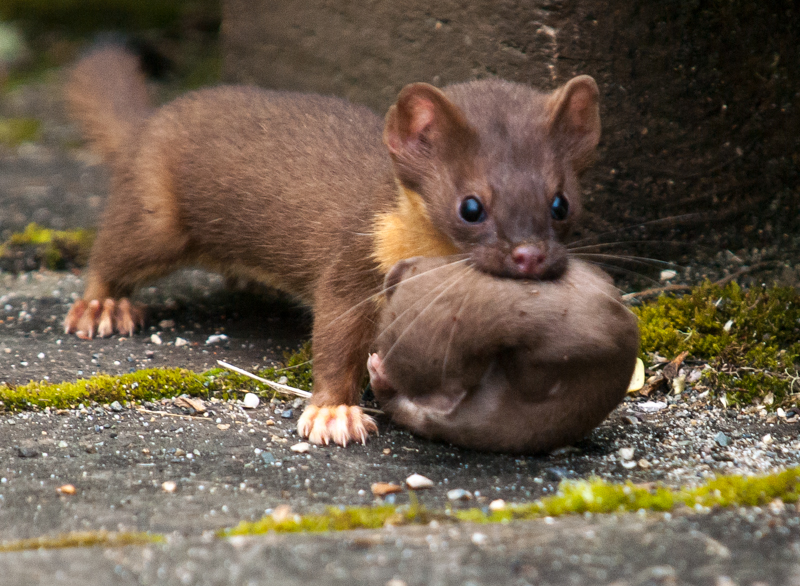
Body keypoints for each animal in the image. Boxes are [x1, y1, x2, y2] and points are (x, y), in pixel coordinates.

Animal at [62, 48, 600, 444]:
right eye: (471, 206)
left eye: (560, 202)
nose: (529, 255)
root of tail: (150, 122)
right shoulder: (352, 265)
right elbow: (336, 340)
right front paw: (334, 414)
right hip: (156, 219)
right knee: (109, 252)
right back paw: (101, 307)